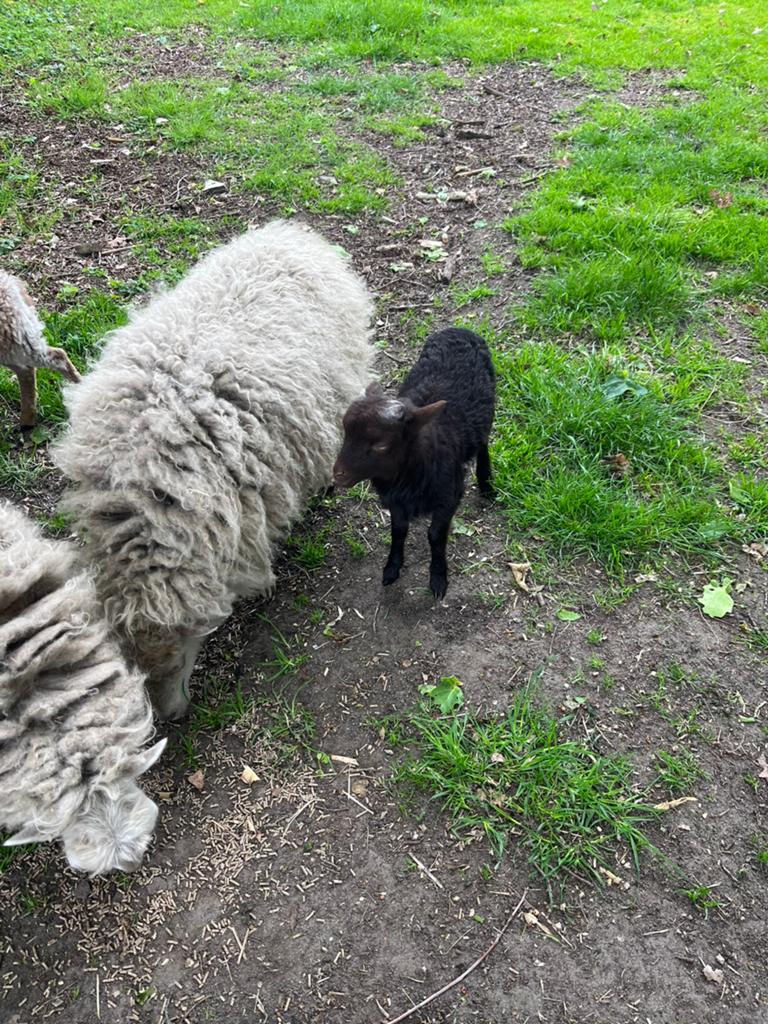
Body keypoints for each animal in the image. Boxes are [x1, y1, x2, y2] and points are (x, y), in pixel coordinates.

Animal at [333, 326, 496, 599]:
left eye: (380, 445)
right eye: (346, 432)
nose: (338, 474)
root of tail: (459, 329)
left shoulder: (449, 496)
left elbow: (435, 535)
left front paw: (438, 578)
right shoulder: (395, 502)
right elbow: (398, 531)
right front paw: (391, 568)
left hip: (487, 410)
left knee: (483, 443)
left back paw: (487, 484)